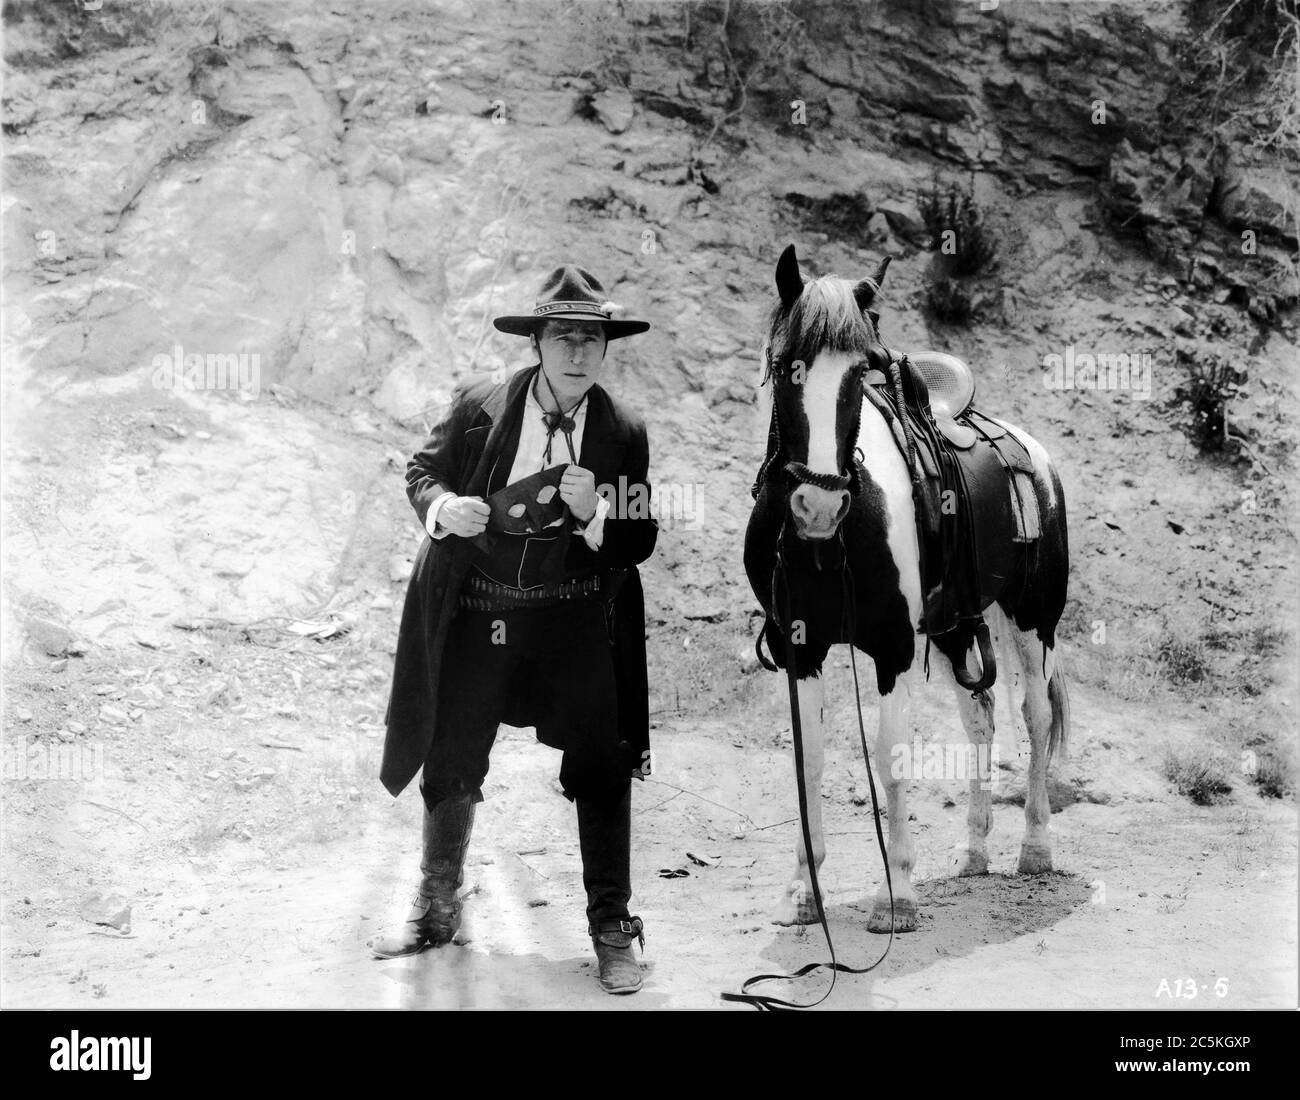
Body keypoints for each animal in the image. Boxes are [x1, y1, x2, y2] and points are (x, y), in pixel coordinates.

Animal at [748, 245, 1071, 941]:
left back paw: (1035, 848)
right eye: (787, 367)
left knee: (1034, 716)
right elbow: (809, 761)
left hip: (1033, 619)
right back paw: (974, 852)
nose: (818, 506)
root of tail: (1033, 453)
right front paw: (802, 892)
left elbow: (890, 760)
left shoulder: (892, 648)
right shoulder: (800, 649)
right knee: (981, 720)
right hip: (954, 629)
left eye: (859, 375)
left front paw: (896, 895)